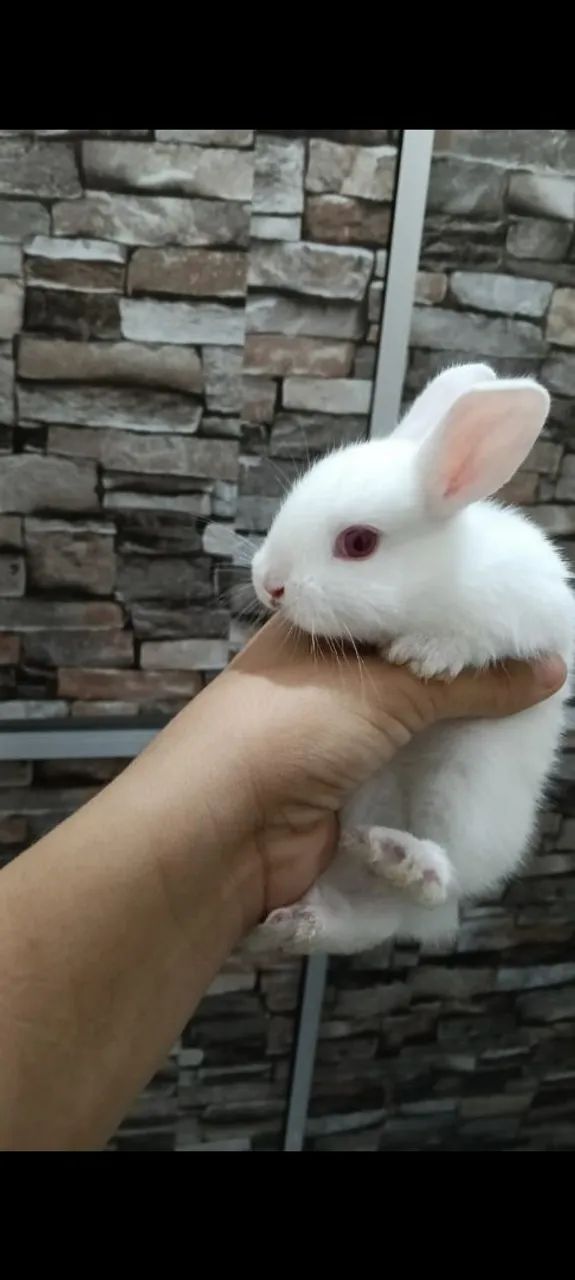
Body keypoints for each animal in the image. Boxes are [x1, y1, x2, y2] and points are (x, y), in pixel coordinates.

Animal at [244, 362, 575, 957]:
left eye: (358, 543)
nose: (269, 584)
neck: (439, 576)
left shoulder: (534, 612)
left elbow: (474, 636)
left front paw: (425, 655)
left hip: (463, 797)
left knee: (446, 878)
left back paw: (404, 859)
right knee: (366, 918)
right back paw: (297, 923)